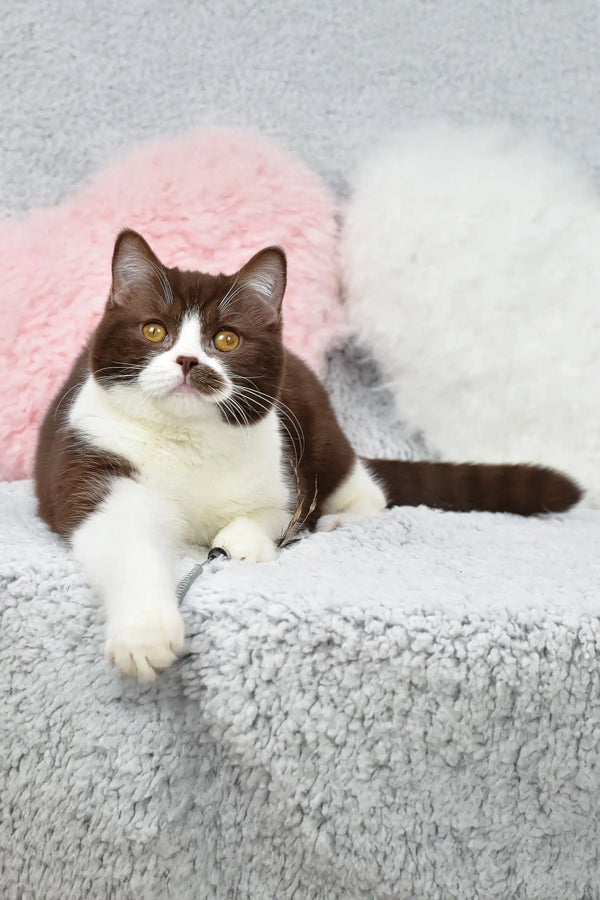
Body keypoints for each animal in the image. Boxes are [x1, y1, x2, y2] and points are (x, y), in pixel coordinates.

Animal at [34, 229, 580, 680]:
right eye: (154, 331)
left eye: (225, 339)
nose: (188, 360)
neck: (186, 438)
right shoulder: (92, 456)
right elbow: (122, 538)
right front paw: (144, 634)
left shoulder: (282, 464)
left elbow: (277, 510)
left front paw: (244, 541)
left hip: (321, 429)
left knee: (365, 487)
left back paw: (341, 520)